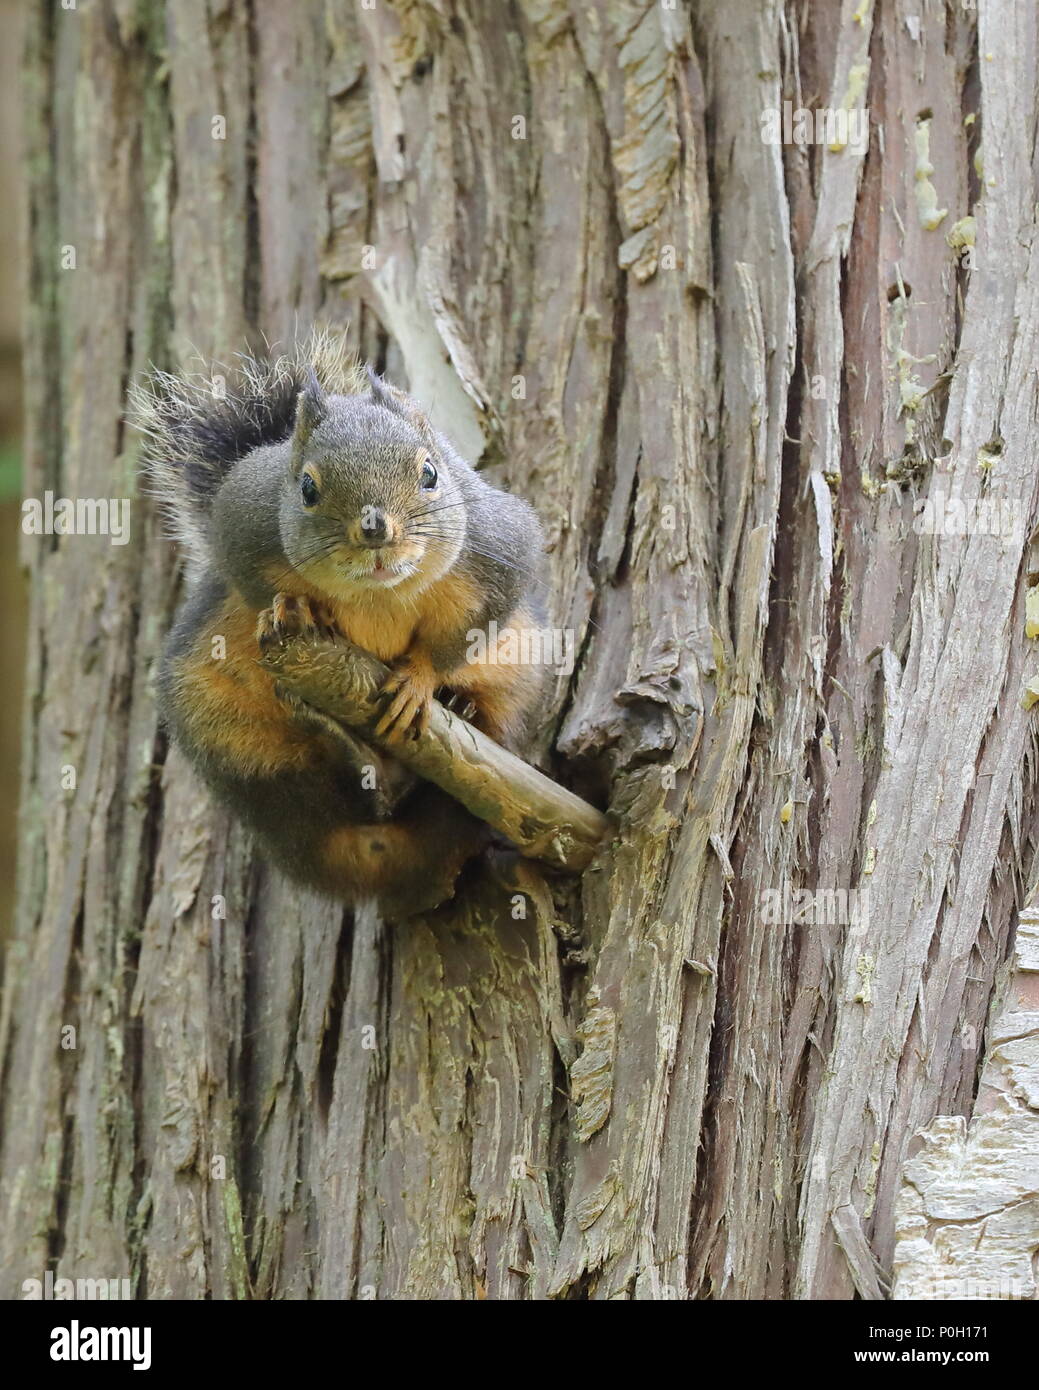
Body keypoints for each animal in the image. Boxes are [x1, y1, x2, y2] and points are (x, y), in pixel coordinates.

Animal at [131, 330, 547, 918]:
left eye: (429, 473)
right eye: (306, 488)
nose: (375, 529)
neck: (376, 596)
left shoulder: (499, 550)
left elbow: (466, 634)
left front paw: (420, 681)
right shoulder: (241, 522)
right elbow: (258, 587)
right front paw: (295, 607)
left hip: (518, 680)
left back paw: (460, 711)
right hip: (227, 737)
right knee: (319, 796)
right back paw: (335, 737)